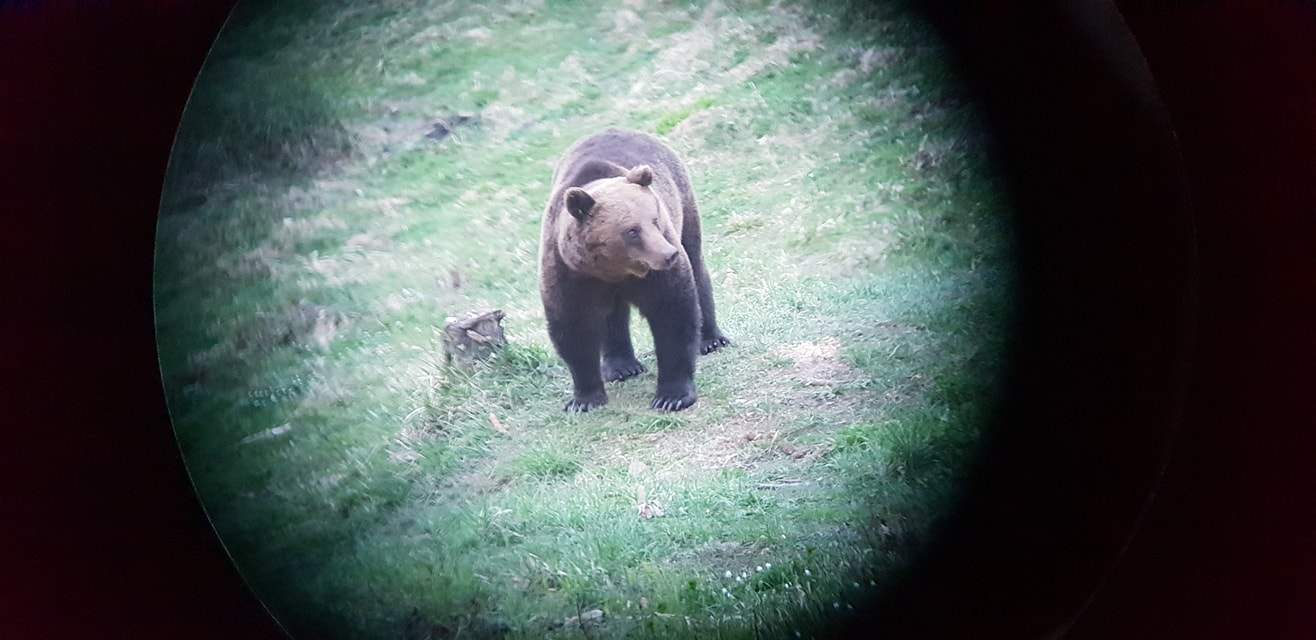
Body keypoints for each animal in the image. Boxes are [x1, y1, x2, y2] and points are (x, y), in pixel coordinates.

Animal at [539, 127, 736, 413]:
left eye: (654, 220)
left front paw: (672, 396)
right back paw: (621, 366)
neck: (614, 269)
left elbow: (672, 313)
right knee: (613, 316)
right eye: (632, 230)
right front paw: (584, 400)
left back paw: (711, 339)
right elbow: (573, 328)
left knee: (698, 269)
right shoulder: (570, 273)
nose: (668, 254)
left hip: (684, 204)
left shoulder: (657, 274)